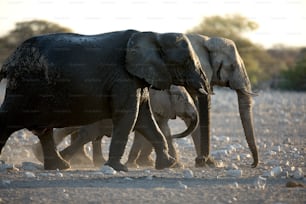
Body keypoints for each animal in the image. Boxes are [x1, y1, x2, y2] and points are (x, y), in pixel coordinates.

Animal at [31, 85, 198, 168]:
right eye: (181, 98)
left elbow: (164, 132)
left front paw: (177, 165)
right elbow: (143, 134)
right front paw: (133, 165)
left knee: (83, 132)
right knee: (88, 134)